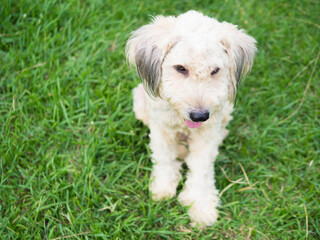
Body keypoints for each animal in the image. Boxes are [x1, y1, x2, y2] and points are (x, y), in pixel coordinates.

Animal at [126, 10, 256, 227]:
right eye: (180, 68)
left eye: (215, 70)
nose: (200, 116)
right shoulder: (161, 127)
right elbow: (164, 157)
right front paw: (163, 187)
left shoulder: (207, 133)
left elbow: (201, 168)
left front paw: (201, 207)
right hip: (139, 100)